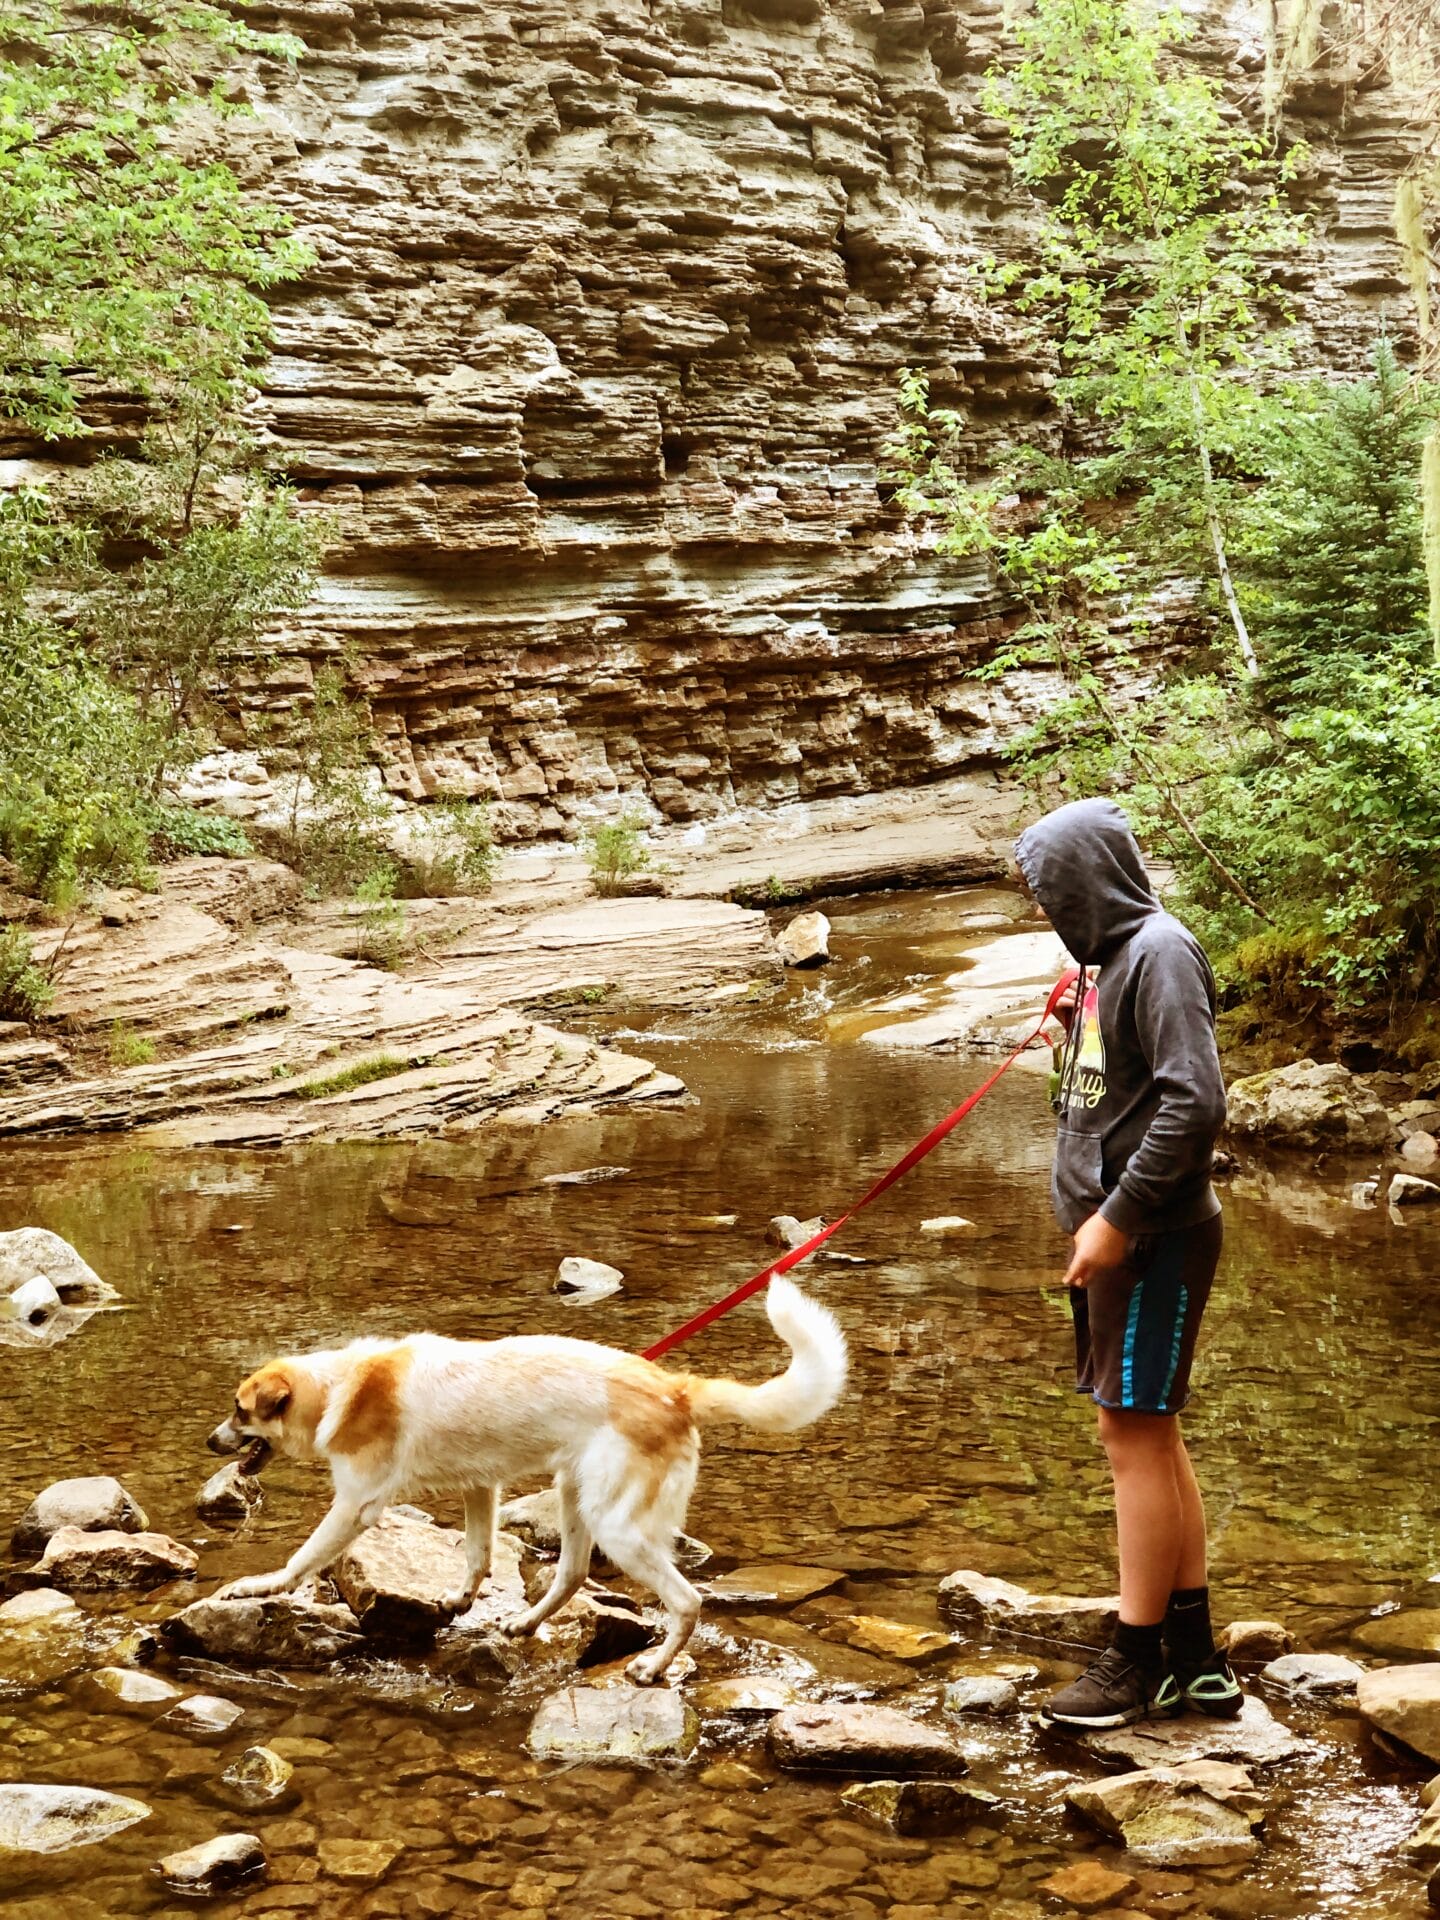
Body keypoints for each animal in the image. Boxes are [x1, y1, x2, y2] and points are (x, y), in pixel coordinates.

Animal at [208, 1290, 852, 1681]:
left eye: (239, 1411)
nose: (211, 1442)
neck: (337, 1387)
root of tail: (673, 1389)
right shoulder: (480, 1487)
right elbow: (476, 1553)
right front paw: (461, 1601)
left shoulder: (356, 1505)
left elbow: (302, 1558)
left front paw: (257, 1587)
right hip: (575, 1495)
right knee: (571, 1573)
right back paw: (525, 1623)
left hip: (618, 1527)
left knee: (687, 1601)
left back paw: (653, 1668)